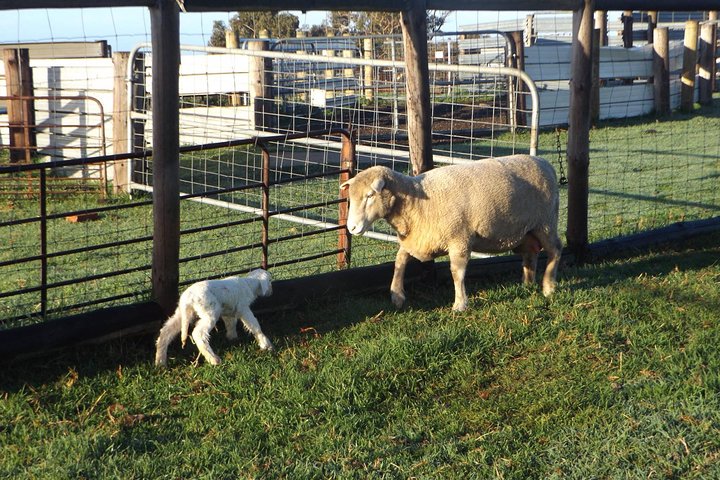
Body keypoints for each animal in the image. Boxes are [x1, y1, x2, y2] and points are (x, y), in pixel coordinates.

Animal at [342, 155, 564, 312]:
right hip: (527, 230)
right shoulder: (418, 239)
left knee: (555, 250)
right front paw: (397, 295)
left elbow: (457, 272)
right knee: (531, 253)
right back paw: (527, 284)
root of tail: (545, 163)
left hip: (545, 222)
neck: (416, 201)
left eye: (370, 195)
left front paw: (460, 304)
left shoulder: (460, 238)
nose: (351, 228)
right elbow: (399, 261)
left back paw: (548, 287)